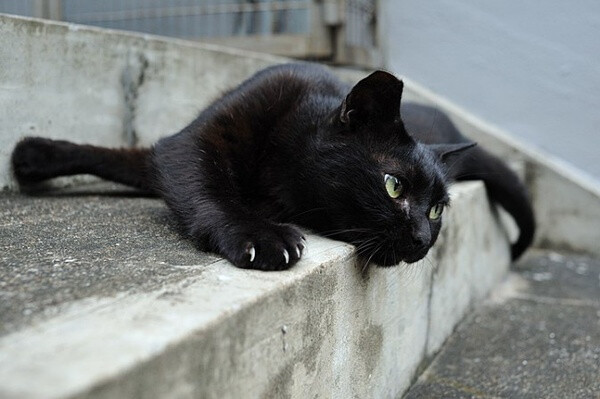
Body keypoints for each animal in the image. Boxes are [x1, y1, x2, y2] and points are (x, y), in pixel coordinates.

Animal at [9, 63, 536, 272]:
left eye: (436, 211)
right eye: (393, 186)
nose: (425, 240)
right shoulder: (187, 146)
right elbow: (198, 185)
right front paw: (33, 156)